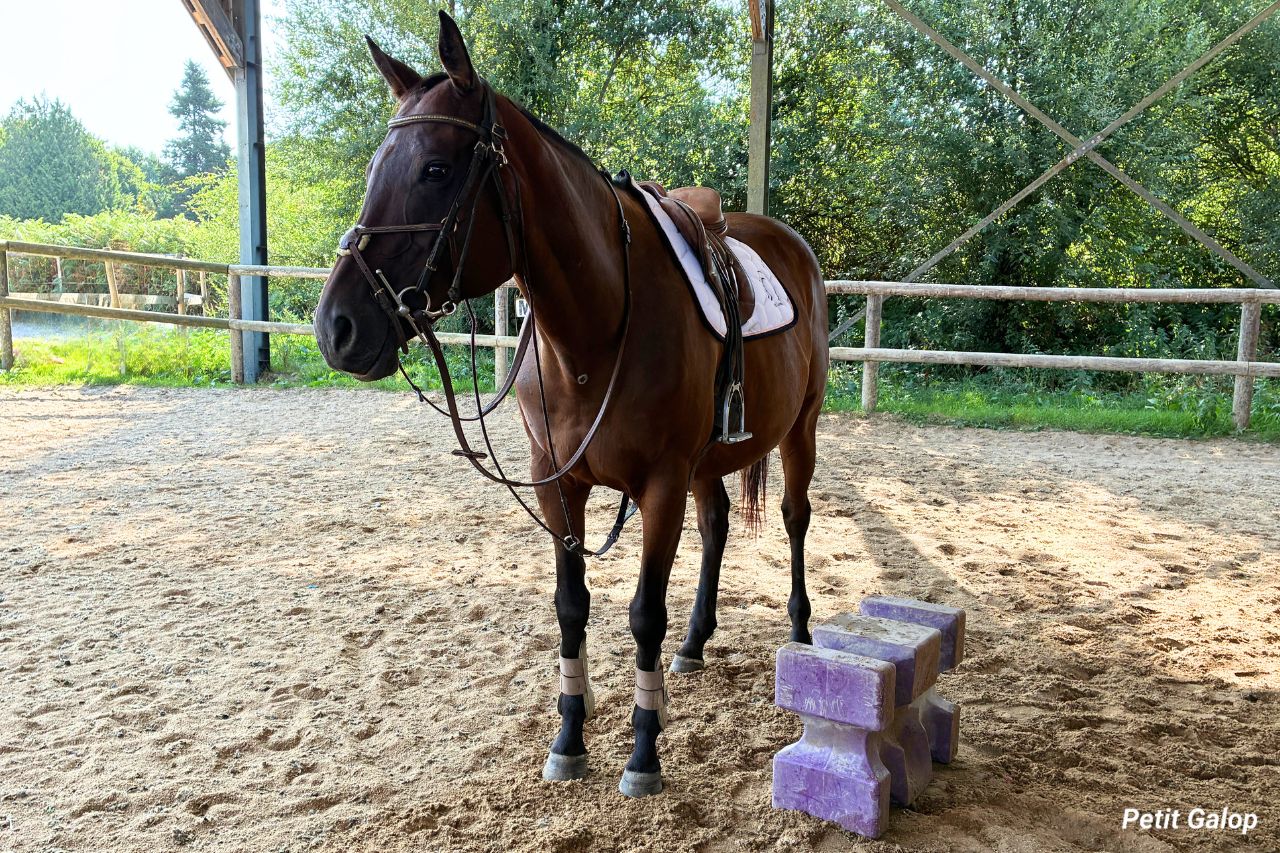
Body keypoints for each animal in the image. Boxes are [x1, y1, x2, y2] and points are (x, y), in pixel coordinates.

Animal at [314, 11, 829, 797]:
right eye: (376, 170)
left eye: (436, 170)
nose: (337, 326)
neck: (597, 327)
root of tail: (790, 244)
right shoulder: (558, 484)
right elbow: (571, 606)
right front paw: (569, 738)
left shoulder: (660, 485)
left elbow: (642, 613)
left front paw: (643, 753)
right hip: (711, 460)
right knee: (716, 526)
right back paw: (695, 643)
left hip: (801, 428)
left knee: (796, 519)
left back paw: (800, 638)